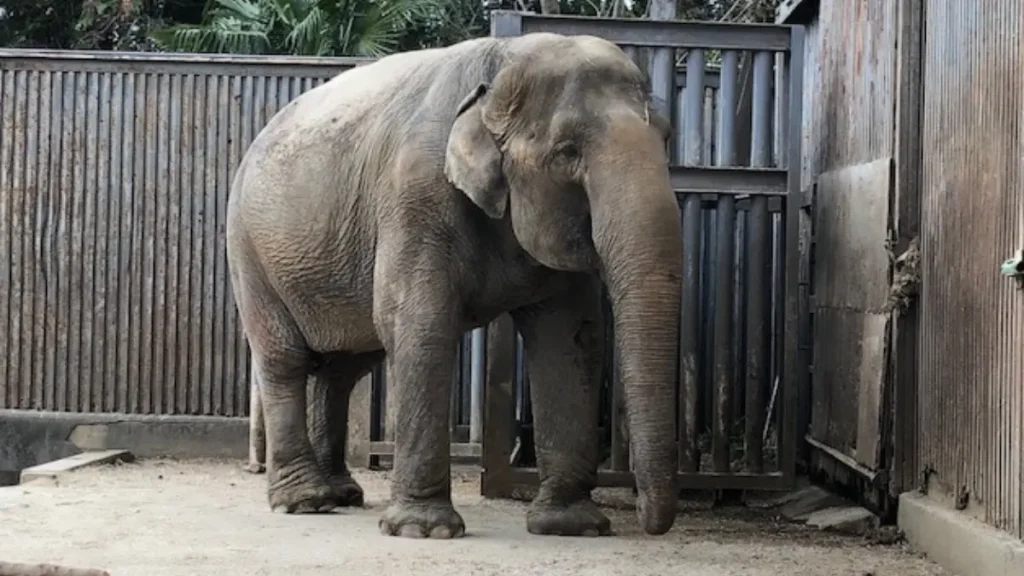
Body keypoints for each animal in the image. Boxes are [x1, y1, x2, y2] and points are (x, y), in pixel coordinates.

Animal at [227, 30, 684, 532]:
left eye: (666, 138)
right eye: (567, 151)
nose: (643, 515)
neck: (504, 62)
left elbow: (568, 338)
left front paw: (571, 526)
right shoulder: (416, 195)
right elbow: (420, 325)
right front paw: (425, 529)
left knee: (344, 368)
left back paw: (341, 494)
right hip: (249, 250)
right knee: (285, 359)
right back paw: (305, 501)